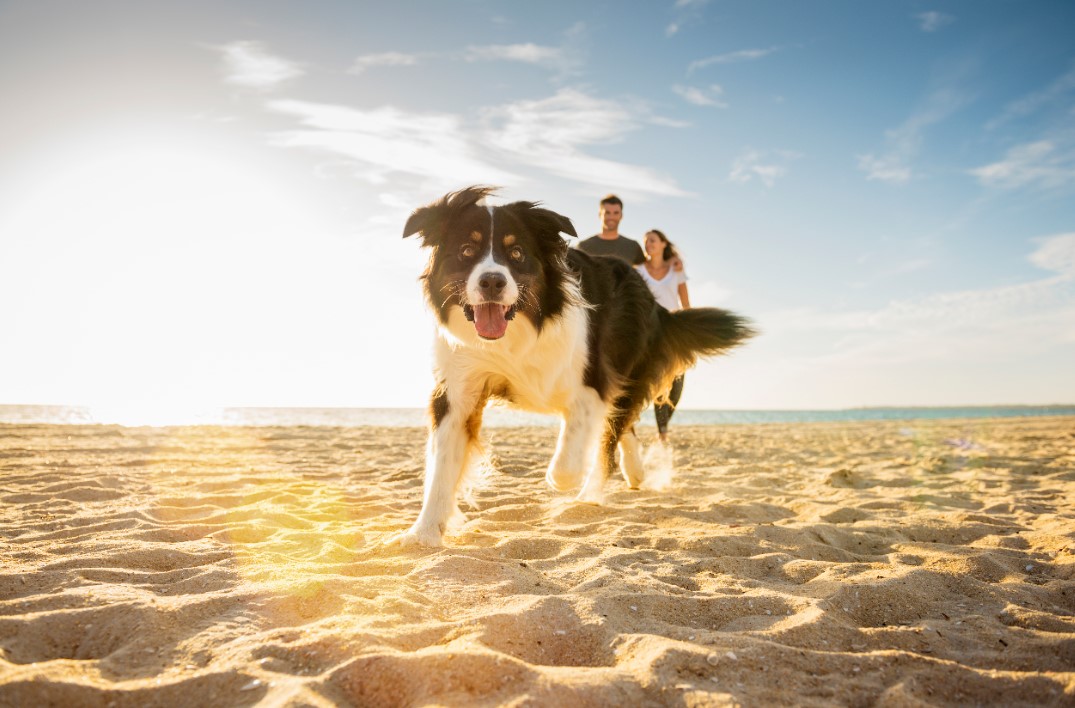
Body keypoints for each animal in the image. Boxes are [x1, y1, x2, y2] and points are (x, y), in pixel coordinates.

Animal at [395, 185, 756, 545]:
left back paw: (589, 495)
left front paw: (562, 481)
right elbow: (442, 467)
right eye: (467, 250)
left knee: (611, 433)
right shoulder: (458, 389)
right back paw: (634, 472)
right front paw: (422, 533)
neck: (515, 335)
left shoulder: (593, 381)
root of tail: (653, 300)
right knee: (621, 426)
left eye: (517, 253)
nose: (492, 282)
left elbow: (572, 454)